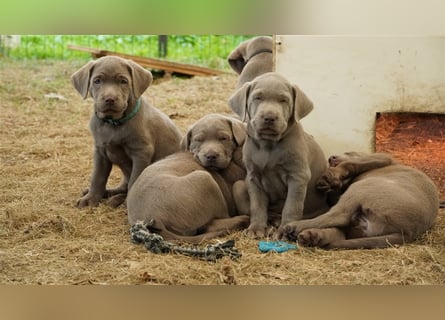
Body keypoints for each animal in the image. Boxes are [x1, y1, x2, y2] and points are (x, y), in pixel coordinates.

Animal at [70, 55, 181, 208]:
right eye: (97, 81)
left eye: (123, 81)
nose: (110, 99)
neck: (113, 123)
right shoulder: (100, 152)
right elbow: (97, 177)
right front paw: (91, 198)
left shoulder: (141, 153)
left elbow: (135, 180)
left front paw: (129, 202)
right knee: (123, 185)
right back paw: (108, 193)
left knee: (128, 185)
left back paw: (117, 199)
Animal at [126, 114, 250, 244]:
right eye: (198, 140)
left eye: (223, 138)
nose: (211, 156)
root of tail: (154, 219)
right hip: (204, 179)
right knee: (213, 223)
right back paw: (241, 220)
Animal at [229, 71, 330, 239]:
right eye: (258, 97)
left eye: (284, 100)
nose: (269, 117)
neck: (268, 145)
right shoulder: (253, 177)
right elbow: (257, 205)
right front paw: (256, 228)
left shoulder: (298, 176)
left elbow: (291, 206)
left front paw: (284, 230)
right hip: (238, 185)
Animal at [282, 151, 438, 249]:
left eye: (348, 152)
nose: (331, 158)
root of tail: (408, 232)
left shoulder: (381, 156)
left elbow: (350, 164)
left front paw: (330, 176)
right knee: (340, 231)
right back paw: (312, 236)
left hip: (362, 188)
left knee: (339, 216)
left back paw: (294, 227)